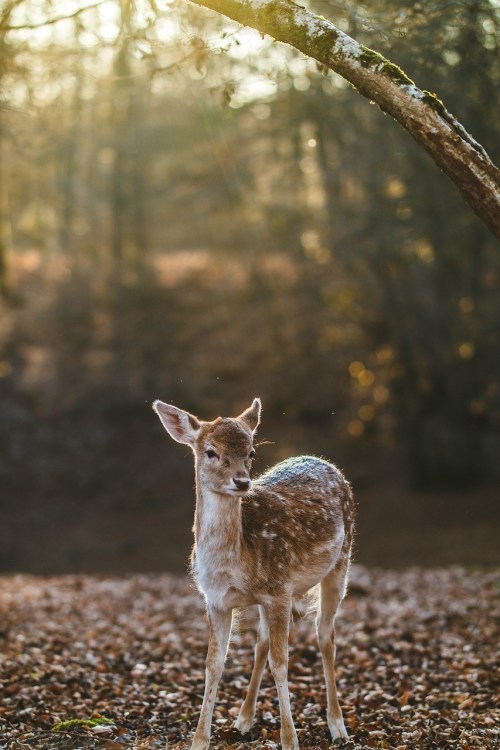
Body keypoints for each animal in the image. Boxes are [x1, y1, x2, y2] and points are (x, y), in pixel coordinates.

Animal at [152, 397, 355, 750]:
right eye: (210, 451)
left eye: (251, 452)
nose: (242, 481)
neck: (232, 566)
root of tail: (324, 462)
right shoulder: (216, 601)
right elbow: (214, 664)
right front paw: (199, 740)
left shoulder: (280, 589)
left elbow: (281, 663)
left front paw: (290, 740)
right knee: (261, 642)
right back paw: (244, 718)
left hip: (341, 562)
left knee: (325, 636)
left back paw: (338, 726)